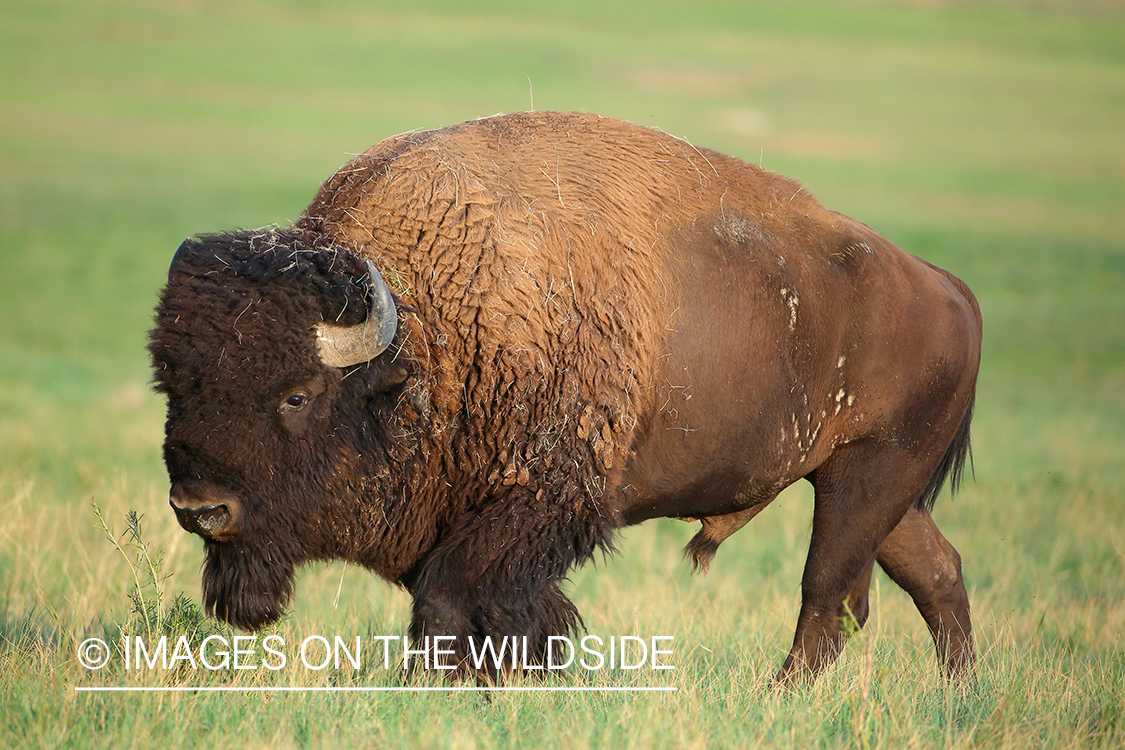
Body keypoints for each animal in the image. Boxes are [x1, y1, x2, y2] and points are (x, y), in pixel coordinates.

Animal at [154, 111, 981, 688]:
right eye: (171, 384)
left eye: (297, 396)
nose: (200, 509)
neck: (428, 330)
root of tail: (944, 287)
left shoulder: (537, 505)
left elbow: (449, 600)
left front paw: (437, 688)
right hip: (870, 486)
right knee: (928, 573)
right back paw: (956, 695)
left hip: (867, 473)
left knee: (826, 591)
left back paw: (783, 697)